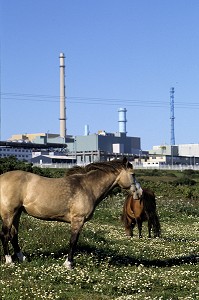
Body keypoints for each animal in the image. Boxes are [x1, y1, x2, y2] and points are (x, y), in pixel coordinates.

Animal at [0, 158, 135, 268]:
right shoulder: (78, 219)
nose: (137, 193)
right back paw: (9, 261)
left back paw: (22, 258)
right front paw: (69, 264)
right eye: (133, 174)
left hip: (17, 213)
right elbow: (73, 241)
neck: (87, 187)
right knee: (5, 235)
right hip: (9, 214)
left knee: (14, 235)